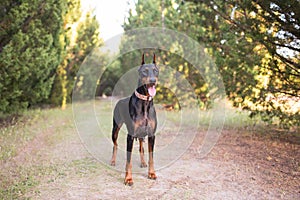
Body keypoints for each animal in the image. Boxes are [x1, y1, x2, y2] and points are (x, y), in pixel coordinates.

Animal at [109, 53, 157, 186]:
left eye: (156, 70)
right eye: (145, 71)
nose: (153, 80)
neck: (145, 102)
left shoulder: (151, 135)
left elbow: (151, 156)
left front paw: (151, 173)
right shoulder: (130, 136)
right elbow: (128, 160)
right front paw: (128, 178)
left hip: (141, 134)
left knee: (141, 147)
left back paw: (143, 162)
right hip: (115, 129)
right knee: (115, 144)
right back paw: (113, 161)